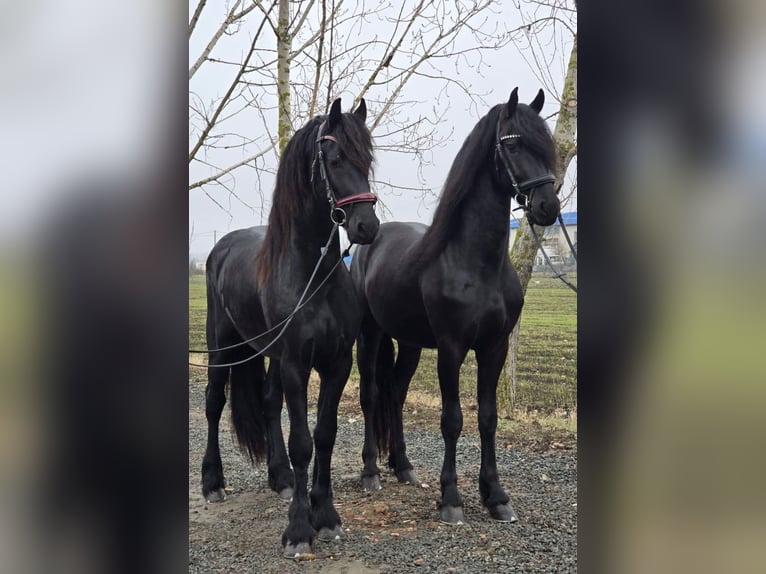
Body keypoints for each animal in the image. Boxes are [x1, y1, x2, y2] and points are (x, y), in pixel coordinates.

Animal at [201, 98, 380, 558]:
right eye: (334, 159)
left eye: (367, 159)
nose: (366, 227)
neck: (312, 276)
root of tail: (220, 248)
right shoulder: (297, 364)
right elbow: (303, 442)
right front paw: (299, 529)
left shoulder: (335, 363)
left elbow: (325, 435)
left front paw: (326, 515)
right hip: (222, 347)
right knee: (213, 403)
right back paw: (212, 483)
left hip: (270, 354)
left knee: (267, 403)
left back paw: (279, 478)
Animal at [351, 88, 560, 525]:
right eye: (512, 144)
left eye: (546, 145)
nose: (548, 206)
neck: (474, 262)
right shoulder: (451, 348)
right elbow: (452, 420)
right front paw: (451, 499)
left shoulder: (494, 348)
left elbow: (487, 417)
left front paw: (496, 496)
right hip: (370, 335)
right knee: (371, 393)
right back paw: (371, 472)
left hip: (410, 343)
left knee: (396, 393)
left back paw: (403, 467)